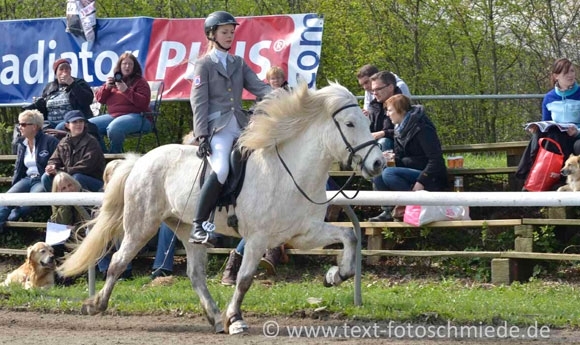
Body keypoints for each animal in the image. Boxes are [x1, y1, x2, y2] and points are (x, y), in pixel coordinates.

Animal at [57, 80, 386, 334]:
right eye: (350, 124)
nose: (378, 164)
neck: (290, 172)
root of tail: (141, 160)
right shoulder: (258, 238)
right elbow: (244, 279)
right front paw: (235, 318)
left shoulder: (303, 233)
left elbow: (349, 236)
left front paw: (336, 275)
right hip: (141, 225)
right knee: (118, 261)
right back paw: (96, 304)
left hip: (185, 229)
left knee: (195, 274)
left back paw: (214, 317)